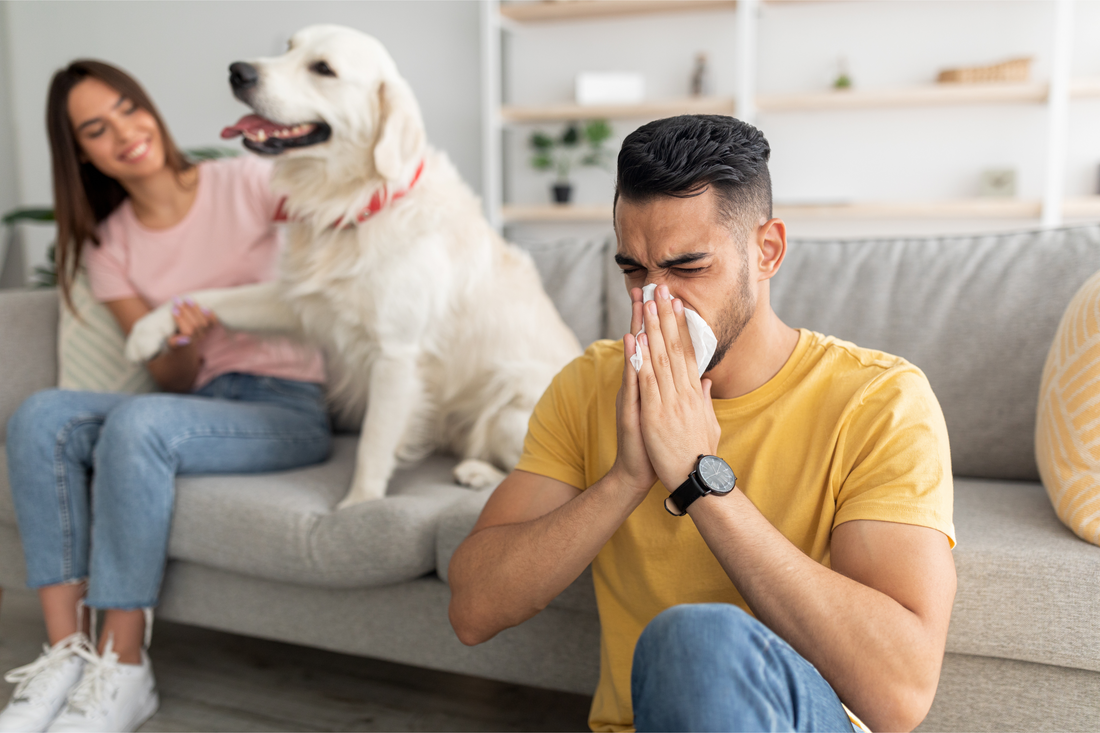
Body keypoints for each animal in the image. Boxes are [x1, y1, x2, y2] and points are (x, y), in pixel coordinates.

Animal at [124, 27, 580, 508]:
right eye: (288, 48)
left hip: (512, 402)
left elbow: (373, 444)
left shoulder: (395, 354)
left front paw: (358, 505)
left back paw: (477, 472)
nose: (239, 72)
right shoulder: (300, 301)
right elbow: (215, 297)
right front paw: (148, 331)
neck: (354, 204)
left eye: (323, 68)